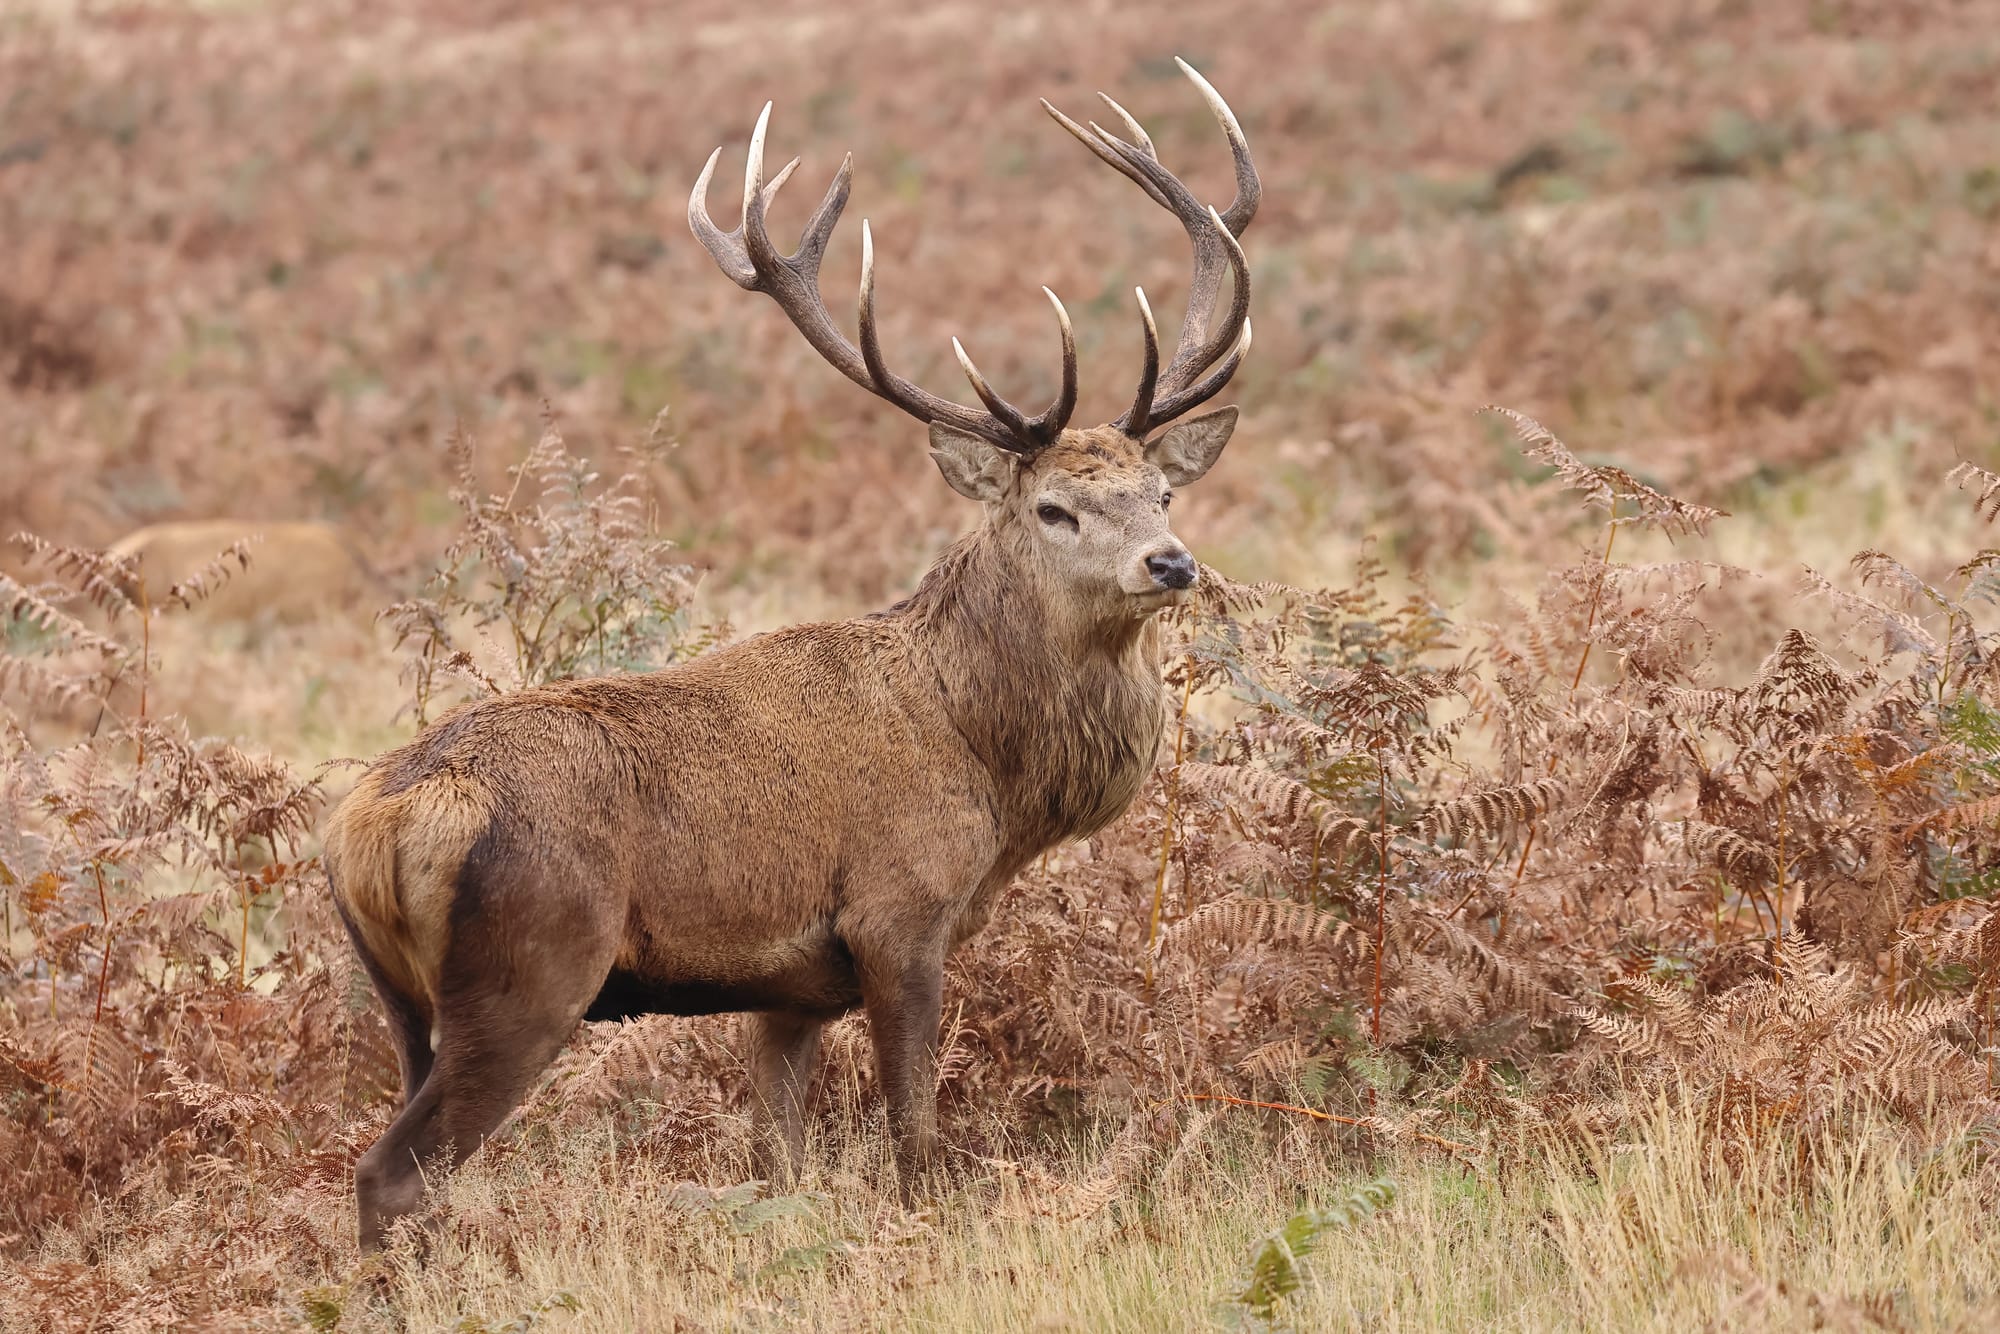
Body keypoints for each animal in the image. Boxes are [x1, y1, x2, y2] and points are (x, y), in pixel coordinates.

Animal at [330, 57, 1264, 1256]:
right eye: (1054, 508)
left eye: (1161, 493)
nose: (1170, 562)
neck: (988, 775)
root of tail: (377, 822)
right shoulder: (898, 916)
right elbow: (915, 1142)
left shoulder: (789, 986)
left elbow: (778, 1159)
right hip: (529, 966)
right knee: (391, 1170)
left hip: (401, 996)